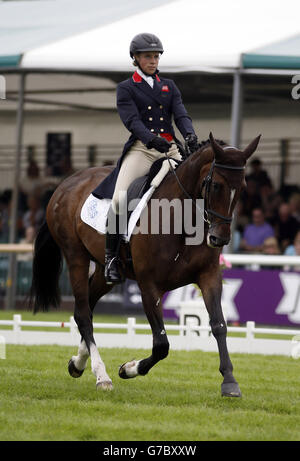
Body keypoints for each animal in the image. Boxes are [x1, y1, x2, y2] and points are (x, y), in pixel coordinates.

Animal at [29, 133, 260, 396]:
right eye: (216, 185)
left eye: (242, 187)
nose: (219, 239)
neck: (182, 219)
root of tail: (65, 184)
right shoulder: (149, 286)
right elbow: (161, 344)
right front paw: (128, 369)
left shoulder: (209, 276)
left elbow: (219, 325)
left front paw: (229, 381)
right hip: (76, 257)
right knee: (84, 314)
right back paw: (102, 375)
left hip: (105, 273)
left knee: (87, 305)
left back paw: (77, 363)